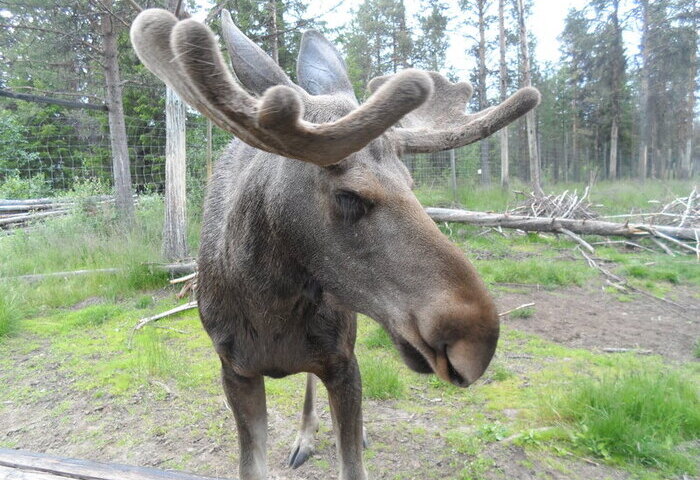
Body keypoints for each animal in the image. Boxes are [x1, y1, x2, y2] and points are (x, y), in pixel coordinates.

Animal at [130, 9, 539, 480]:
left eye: (412, 183)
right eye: (348, 196)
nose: (478, 338)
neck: (269, 306)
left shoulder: (343, 362)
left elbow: (352, 462)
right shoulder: (234, 370)